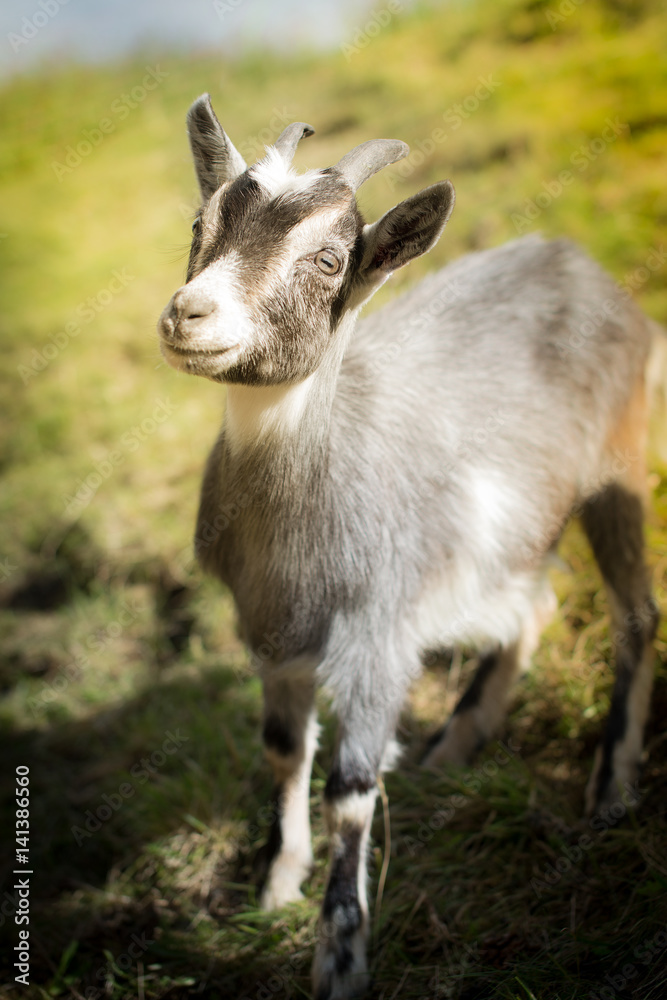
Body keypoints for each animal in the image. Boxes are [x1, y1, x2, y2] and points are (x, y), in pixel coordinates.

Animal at [157, 94, 658, 999]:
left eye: (328, 260)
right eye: (199, 225)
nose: (188, 314)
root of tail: (577, 265)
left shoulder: (376, 638)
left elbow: (350, 787)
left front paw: (340, 957)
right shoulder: (274, 637)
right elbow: (284, 752)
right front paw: (276, 886)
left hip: (620, 467)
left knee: (635, 613)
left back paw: (608, 792)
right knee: (537, 602)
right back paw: (455, 744)